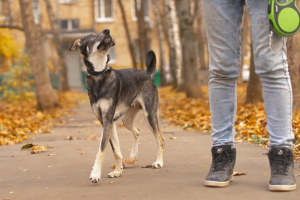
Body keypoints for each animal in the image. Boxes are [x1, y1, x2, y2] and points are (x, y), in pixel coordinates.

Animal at [69, 28, 165, 184]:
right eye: (92, 36)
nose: (107, 30)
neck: (99, 75)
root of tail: (148, 75)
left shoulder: (108, 120)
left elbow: (101, 150)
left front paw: (95, 173)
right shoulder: (107, 122)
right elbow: (116, 151)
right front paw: (117, 171)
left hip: (149, 115)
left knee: (161, 140)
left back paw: (159, 162)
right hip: (127, 120)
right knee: (137, 131)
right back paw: (133, 155)